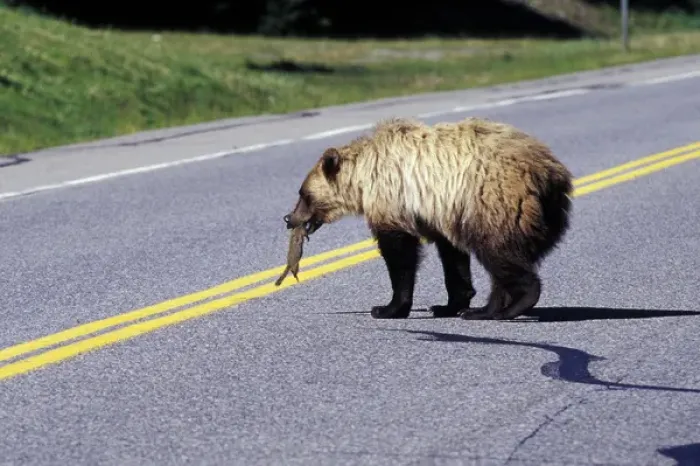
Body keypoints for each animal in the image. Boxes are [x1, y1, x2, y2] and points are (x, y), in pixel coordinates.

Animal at [282, 116, 573, 320]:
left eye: (303, 193)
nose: (289, 218)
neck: (363, 179)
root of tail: (551, 175)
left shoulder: (394, 197)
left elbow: (399, 253)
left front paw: (387, 308)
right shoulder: (443, 209)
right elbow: (452, 256)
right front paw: (449, 304)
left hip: (495, 202)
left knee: (498, 253)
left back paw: (506, 307)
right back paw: (484, 308)